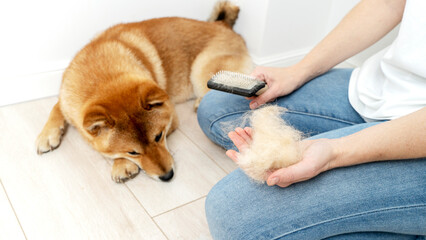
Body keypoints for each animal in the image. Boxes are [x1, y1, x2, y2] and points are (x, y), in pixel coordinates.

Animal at [35, 1, 253, 182]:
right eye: (133, 152)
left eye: (159, 137)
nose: (167, 176)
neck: (99, 72)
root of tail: (223, 26)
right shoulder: (67, 101)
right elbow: (56, 108)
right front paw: (47, 134)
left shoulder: (172, 117)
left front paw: (121, 164)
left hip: (202, 69)